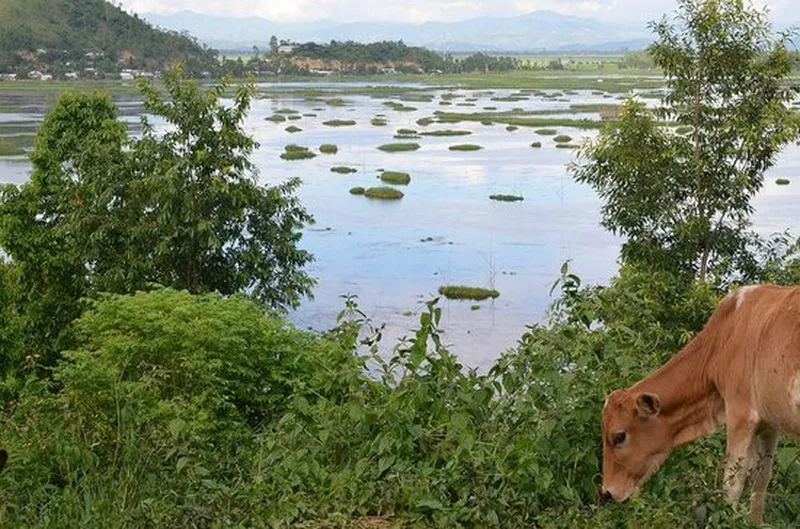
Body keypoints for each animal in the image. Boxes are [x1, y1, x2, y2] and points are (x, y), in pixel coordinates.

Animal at [600, 282, 800, 520]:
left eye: (619, 436)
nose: (606, 493)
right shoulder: (769, 424)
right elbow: (760, 483)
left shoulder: (741, 414)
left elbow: (732, 484)